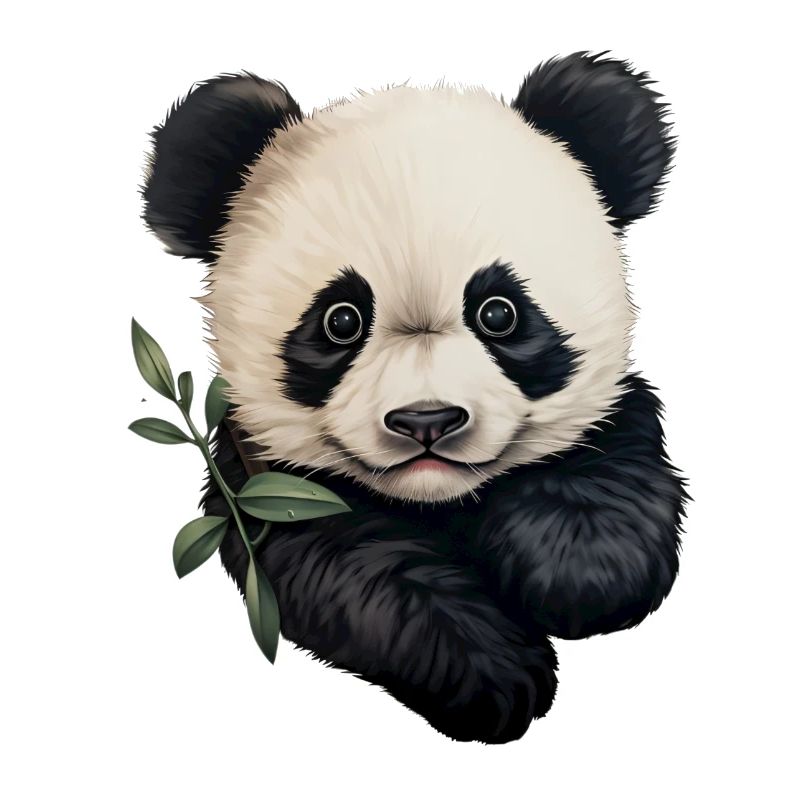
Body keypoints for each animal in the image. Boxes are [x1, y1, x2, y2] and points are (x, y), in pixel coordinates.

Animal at [142, 52, 687, 744]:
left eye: (499, 312)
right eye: (340, 321)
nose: (427, 421)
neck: (437, 500)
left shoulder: (610, 421)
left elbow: (604, 468)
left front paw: (581, 572)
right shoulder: (265, 486)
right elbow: (359, 568)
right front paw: (498, 671)